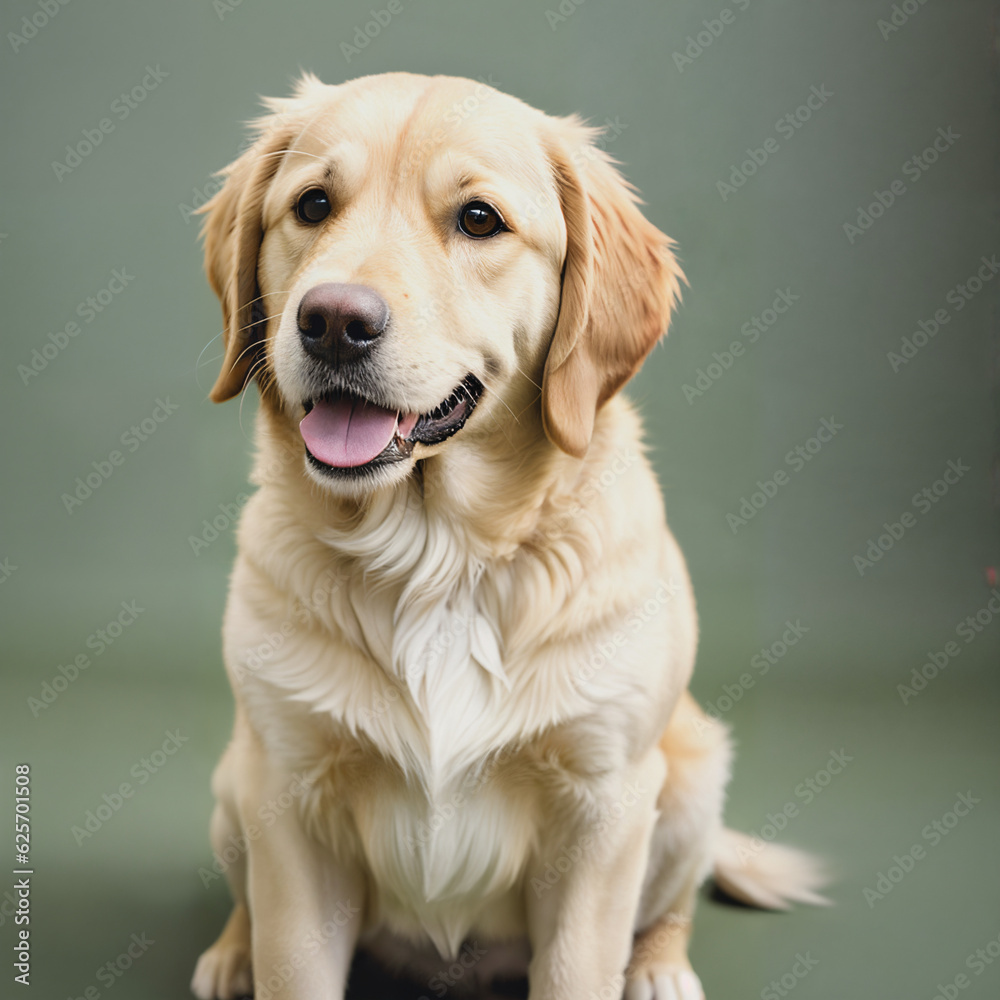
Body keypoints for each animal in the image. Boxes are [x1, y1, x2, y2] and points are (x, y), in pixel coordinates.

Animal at [191, 72, 824, 1000]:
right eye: (312, 205)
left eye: (479, 219)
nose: (332, 320)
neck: (441, 559)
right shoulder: (288, 797)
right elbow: (292, 964)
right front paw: (253, 957)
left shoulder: (604, 805)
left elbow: (579, 967)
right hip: (235, 782)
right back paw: (232, 953)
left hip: (688, 780)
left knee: (671, 904)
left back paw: (660, 969)